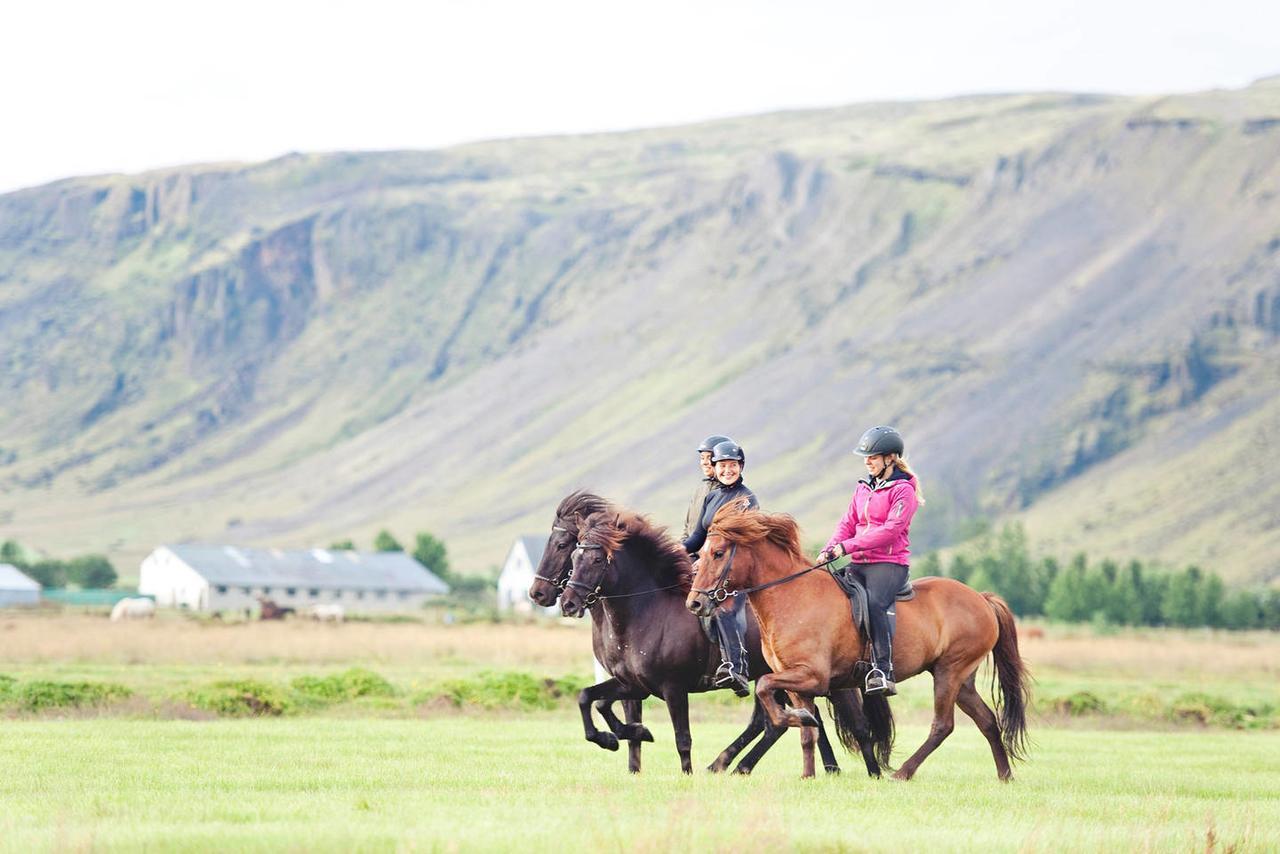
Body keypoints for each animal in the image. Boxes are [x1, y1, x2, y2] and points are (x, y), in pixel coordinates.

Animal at [560, 512, 870, 778]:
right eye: (574, 555)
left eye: (596, 560)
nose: (567, 603)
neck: (649, 610)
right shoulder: (635, 683)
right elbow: (590, 699)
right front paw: (621, 736)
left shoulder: (673, 687)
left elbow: (682, 738)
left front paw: (685, 773)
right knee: (774, 723)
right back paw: (733, 765)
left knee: (844, 723)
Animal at [680, 507, 1029, 783]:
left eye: (718, 553)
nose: (694, 603)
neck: (792, 597)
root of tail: (981, 598)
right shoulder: (798, 683)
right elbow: (806, 734)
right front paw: (807, 772)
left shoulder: (811, 676)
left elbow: (766, 687)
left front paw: (795, 721)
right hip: (962, 679)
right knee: (987, 721)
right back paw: (1005, 775)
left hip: (949, 672)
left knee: (942, 726)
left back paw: (902, 773)